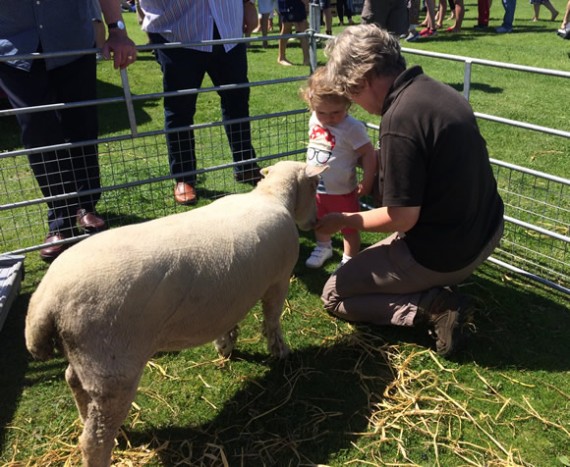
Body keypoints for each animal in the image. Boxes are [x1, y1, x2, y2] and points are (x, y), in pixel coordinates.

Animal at [24, 161, 324, 467]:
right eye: (315, 185)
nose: (315, 223)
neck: (271, 196)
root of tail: (46, 300)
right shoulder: (279, 280)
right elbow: (272, 320)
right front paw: (280, 351)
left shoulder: (232, 294)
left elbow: (230, 321)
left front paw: (226, 344)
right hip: (112, 369)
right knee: (93, 439)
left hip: (88, 359)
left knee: (74, 383)